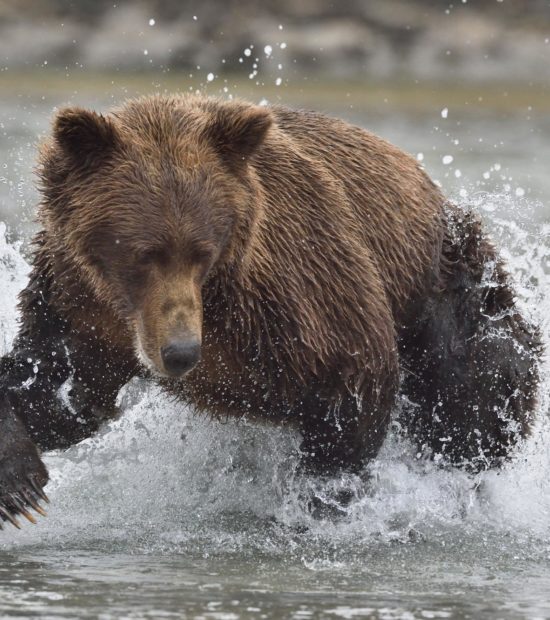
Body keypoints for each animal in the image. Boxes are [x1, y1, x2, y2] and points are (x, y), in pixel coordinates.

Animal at [0, 93, 544, 528]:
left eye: (202, 251)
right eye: (143, 253)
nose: (181, 353)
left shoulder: (297, 292)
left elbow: (355, 383)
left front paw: (320, 502)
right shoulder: (82, 308)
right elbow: (59, 389)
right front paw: (21, 488)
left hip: (450, 286)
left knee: (477, 395)